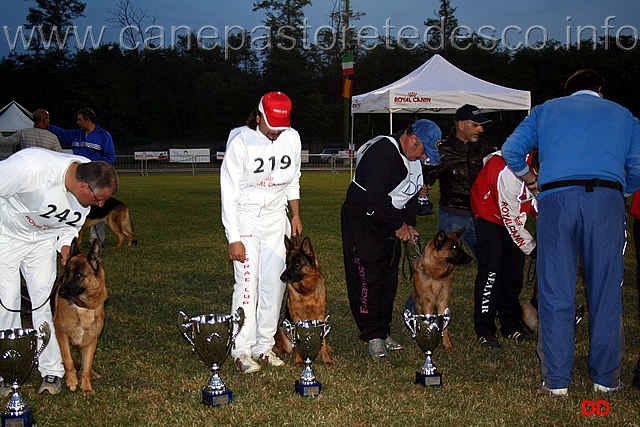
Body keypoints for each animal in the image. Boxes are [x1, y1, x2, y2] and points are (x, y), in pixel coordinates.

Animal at [53, 237, 108, 394]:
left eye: (78, 275)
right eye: (67, 273)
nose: (61, 292)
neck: (83, 307)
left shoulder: (91, 340)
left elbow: (87, 366)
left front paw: (87, 387)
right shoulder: (61, 333)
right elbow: (67, 359)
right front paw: (71, 380)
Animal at [274, 236, 336, 366]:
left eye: (296, 265)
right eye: (287, 264)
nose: (281, 278)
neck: (307, 293)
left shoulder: (321, 319)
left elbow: (322, 343)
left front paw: (327, 360)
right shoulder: (296, 320)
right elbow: (297, 345)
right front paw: (298, 361)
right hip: (282, 328)